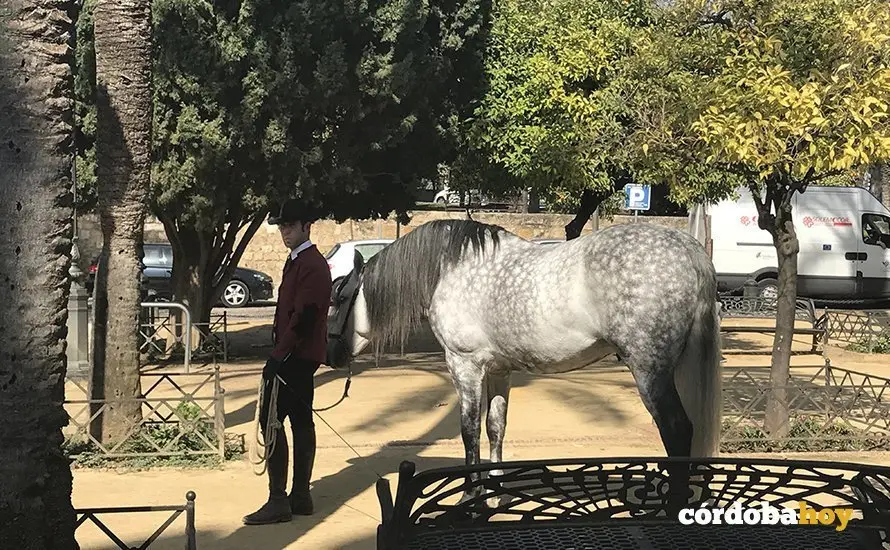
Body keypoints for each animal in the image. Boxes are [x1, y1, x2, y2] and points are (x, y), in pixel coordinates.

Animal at [325, 218, 722, 503]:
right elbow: (495, 427)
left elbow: (469, 430)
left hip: (649, 369)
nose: (330, 357)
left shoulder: (464, 366)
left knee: (676, 429)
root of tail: (687, 248)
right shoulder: (500, 371)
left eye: (339, 298)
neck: (453, 270)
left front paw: (470, 494)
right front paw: (494, 492)